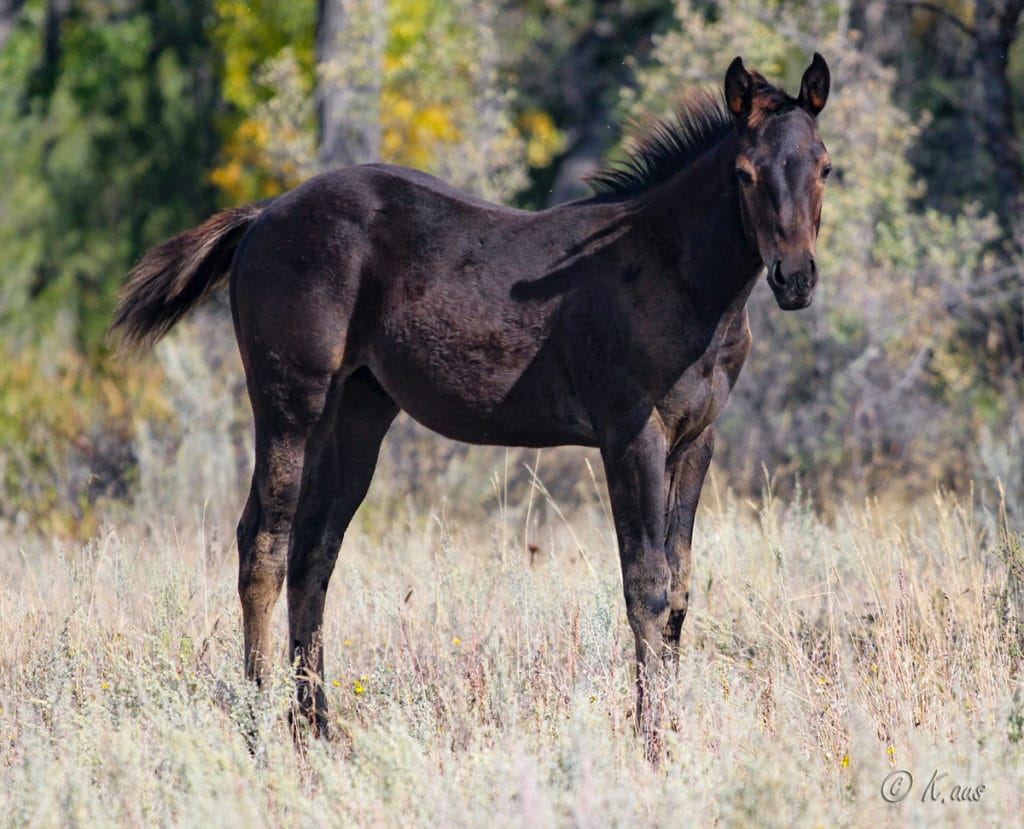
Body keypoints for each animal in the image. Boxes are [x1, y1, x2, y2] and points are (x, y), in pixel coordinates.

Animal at [112, 53, 831, 740]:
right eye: (743, 172)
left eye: (825, 166)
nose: (794, 278)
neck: (675, 274)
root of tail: (264, 214)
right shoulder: (631, 432)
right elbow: (647, 587)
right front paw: (651, 742)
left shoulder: (696, 439)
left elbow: (679, 592)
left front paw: (673, 731)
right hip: (290, 404)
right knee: (263, 544)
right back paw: (259, 730)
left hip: (356, 414)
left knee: (313, 554)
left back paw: (315, 731)